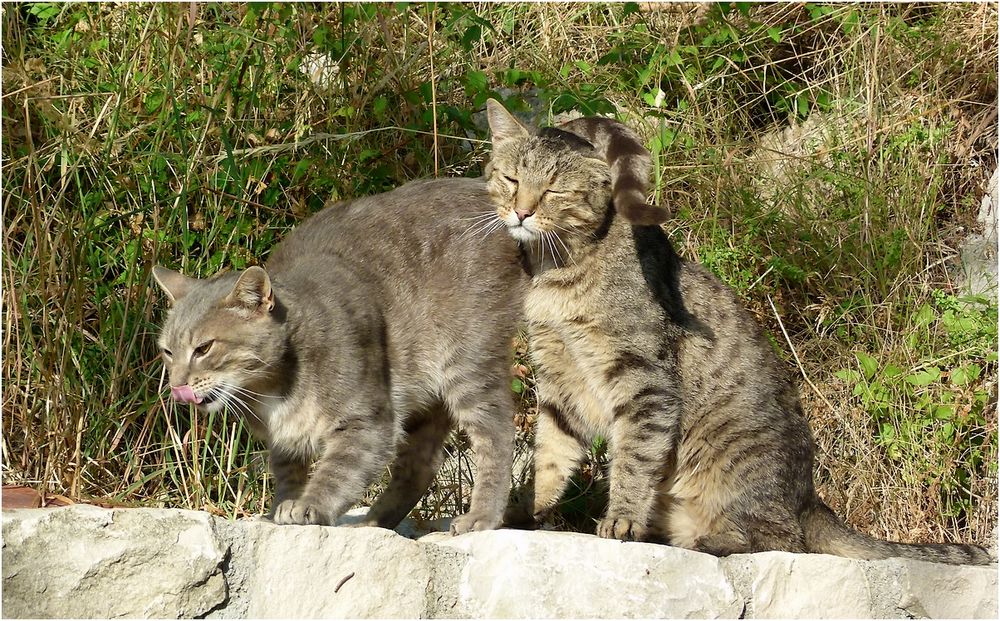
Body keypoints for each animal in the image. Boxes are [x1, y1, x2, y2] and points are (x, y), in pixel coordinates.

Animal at [152, 176, 528, 532]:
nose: (176, 386)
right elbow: (289, 475)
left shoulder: (368, 422)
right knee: (422, 464)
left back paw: (481, 517)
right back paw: (373, 521)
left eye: (203, 348)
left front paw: (308, 505)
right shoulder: (284, 442)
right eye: (168, 351)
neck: (271, 389)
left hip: (467, 362)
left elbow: (338, 471)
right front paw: (280, 509)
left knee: (496, 434)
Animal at [480, 99, 988, 564]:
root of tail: (810, 499)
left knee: (781, 541)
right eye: (512, 180)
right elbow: (551, 454)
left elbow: (634, 460)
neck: (554, 271)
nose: (521, 212)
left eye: (553, 191)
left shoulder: (644, 379)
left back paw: (712, 542)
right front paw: (525, 509)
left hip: (734, 464)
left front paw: (620, 519)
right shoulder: (558, 378)